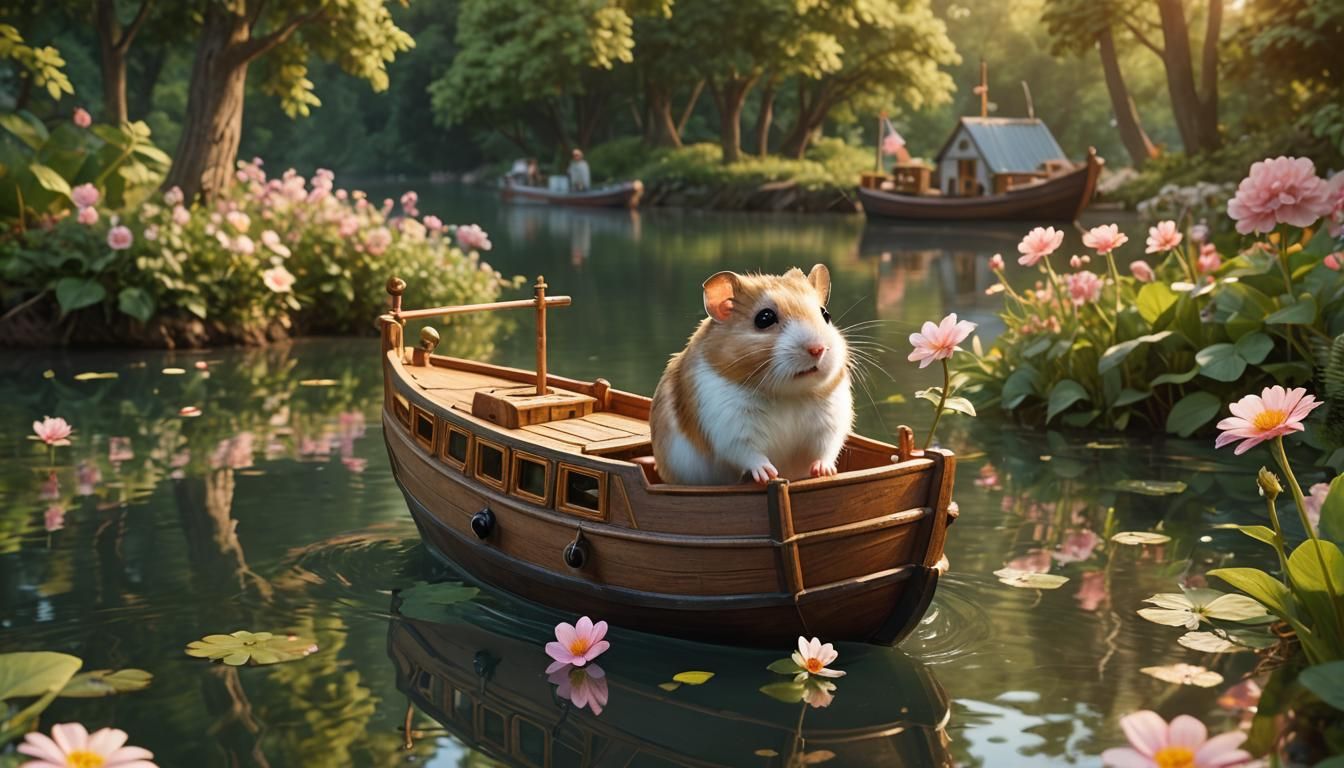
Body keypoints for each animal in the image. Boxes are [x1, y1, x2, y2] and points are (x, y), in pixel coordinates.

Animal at [650, 264, 854, 485]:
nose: (818, 349)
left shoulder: (831, 419)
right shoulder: (730, 425)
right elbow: (750, 454)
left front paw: (825, 471)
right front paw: (769, 474)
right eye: (764, 318)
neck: (788, 394)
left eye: (825, 315)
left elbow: (826, 448)